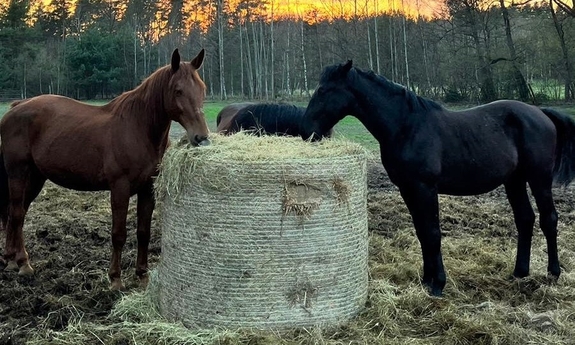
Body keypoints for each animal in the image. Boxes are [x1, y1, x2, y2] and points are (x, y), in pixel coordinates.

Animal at [0, 47, 212, 290]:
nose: (201, 137)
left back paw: (13, 260)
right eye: (178, 90)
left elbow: (144, 232)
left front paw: (142, 275)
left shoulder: (147, 189)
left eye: (202, 88)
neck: (138, 129)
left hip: (36, 177)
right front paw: (116, 279)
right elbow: (118, 234)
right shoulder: (120, 188)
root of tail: (16, 107)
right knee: (16, 213)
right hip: (18, 172)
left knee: (17, 213)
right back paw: (23, 264)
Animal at [300, 59, 575, 296]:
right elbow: (422, 233)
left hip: (539, 179)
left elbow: (432, 233)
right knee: (525, 219)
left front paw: (438, 285)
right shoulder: (408, 189)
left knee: (549, 219)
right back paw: (519, 272)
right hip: (514, 181)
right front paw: (426, 280)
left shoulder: (425, 188)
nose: (306, 131)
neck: (407, 127)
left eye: (323, 90)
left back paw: (553, 272)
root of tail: (540, 112)